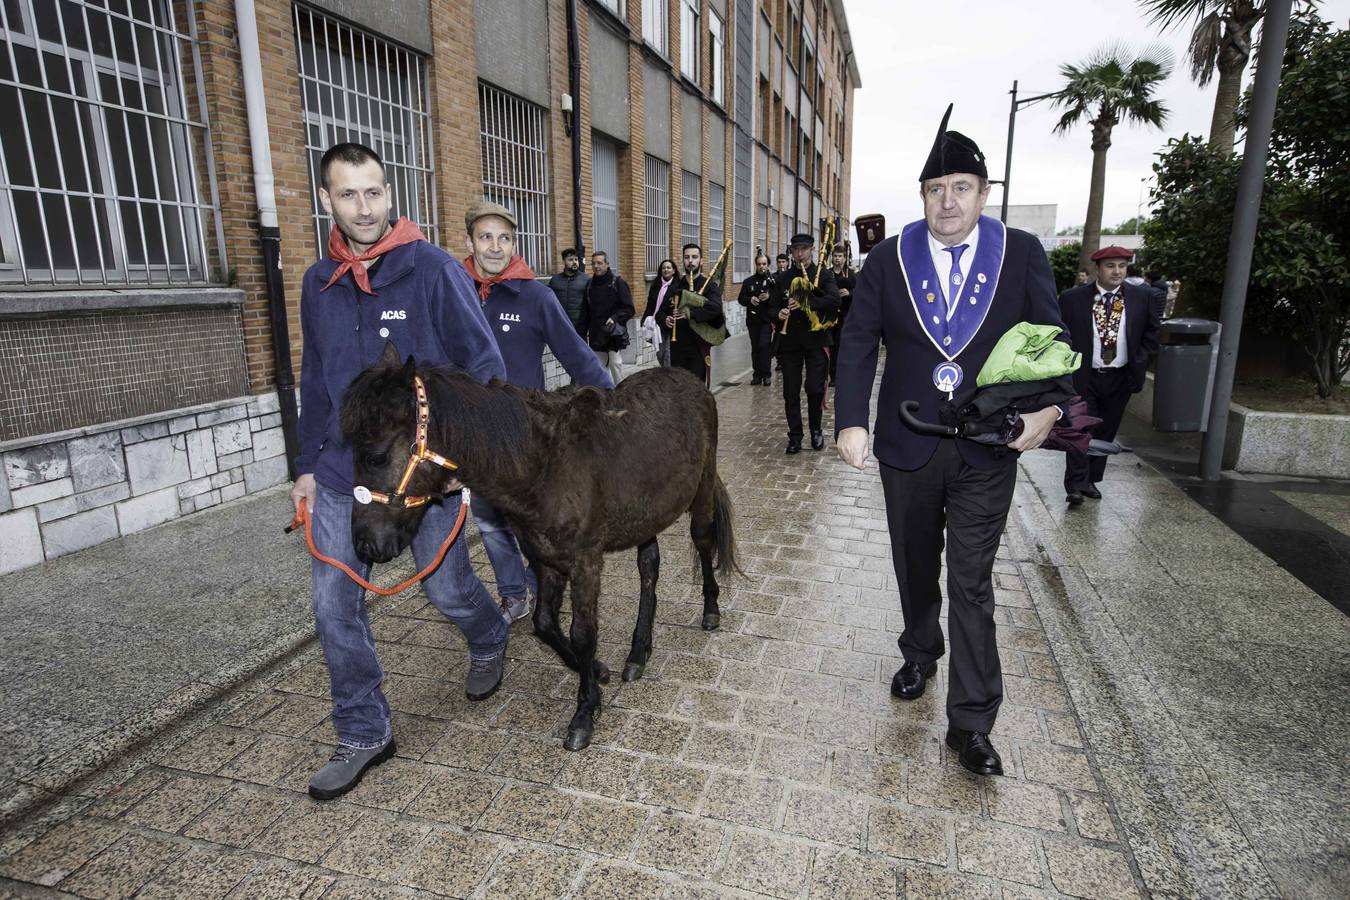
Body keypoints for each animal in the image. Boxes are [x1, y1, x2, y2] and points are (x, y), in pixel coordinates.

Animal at [337, 345, 739, 755]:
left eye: (375, 457)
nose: (364, 543)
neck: (543, 467)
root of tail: (691, 379)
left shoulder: (584, 563)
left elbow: (583, 633)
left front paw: (584, 712)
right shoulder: (547, 560)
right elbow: (545, 623)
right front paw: (597, 672)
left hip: (701, 490)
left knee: (703, 542)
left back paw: (710, 610)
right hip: (645, 515)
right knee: (649, 567)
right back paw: (638, 652)